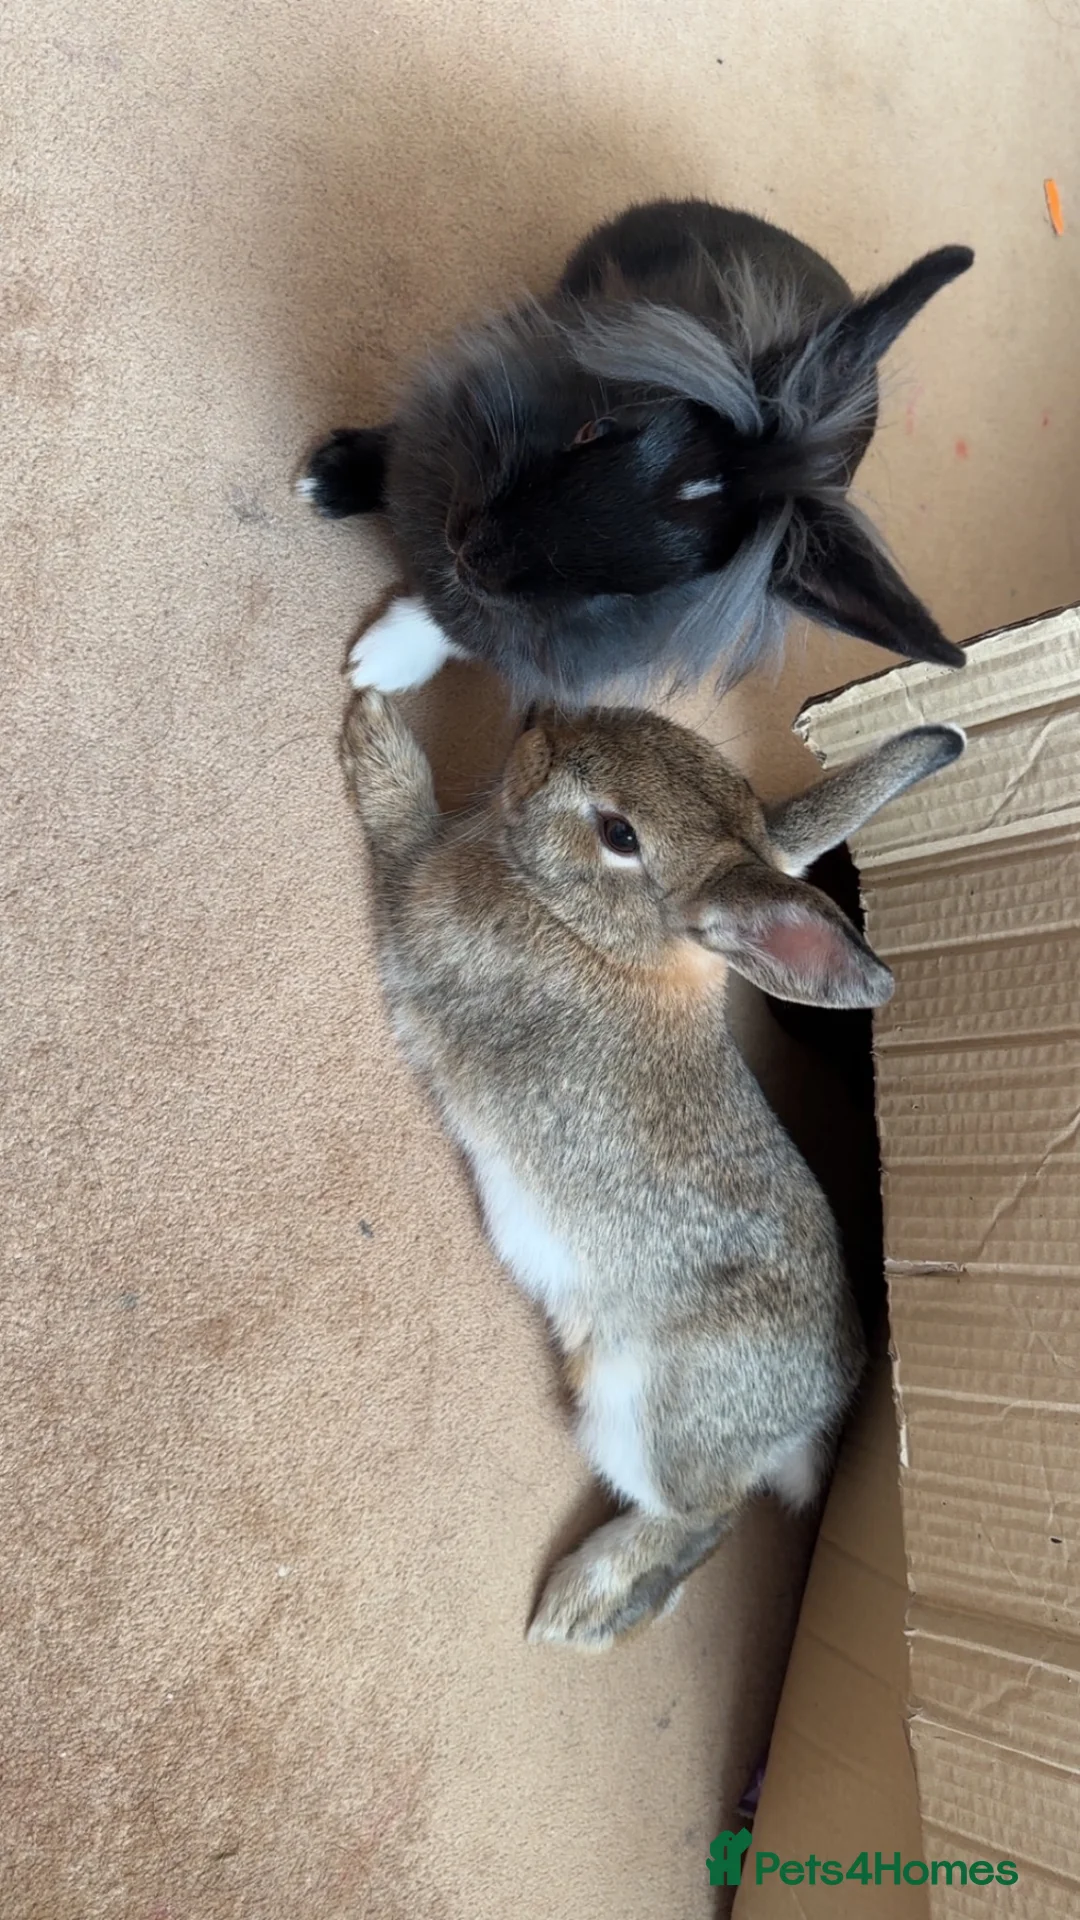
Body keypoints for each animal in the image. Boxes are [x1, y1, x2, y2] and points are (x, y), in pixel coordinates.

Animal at [302, 198, 973, 705]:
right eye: (595, 428)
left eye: (641, 588)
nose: (469, 553)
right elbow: (395, 450)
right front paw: (324, 481)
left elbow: (458, 631)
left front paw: (376, 664)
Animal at [339, 683, 965, 1648]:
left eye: (620, 834)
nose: (538, 726)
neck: (599, 935)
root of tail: (818, 1417)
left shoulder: (419, 902)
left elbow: (403, 835)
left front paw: (376, 733)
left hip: (644, 1417)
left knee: (704, 1512)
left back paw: (576, 1608)